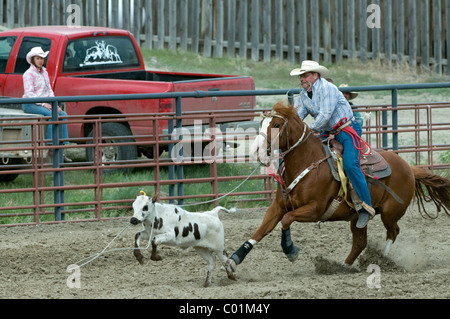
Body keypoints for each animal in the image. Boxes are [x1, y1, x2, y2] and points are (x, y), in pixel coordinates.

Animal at [227, 102, 448, 272]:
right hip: (358, 218)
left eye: (276, 124)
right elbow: (260, 231)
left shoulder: (315, 209)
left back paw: (382, 261)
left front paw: (290, 250)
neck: (308, 162)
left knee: (393, 232)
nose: (255, 150)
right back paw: (342, 266)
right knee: (360, 241)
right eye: (261, 124)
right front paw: (233, 261)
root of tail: (409, 167)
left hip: (390, 213)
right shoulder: (278, 207)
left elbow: (287, 220)